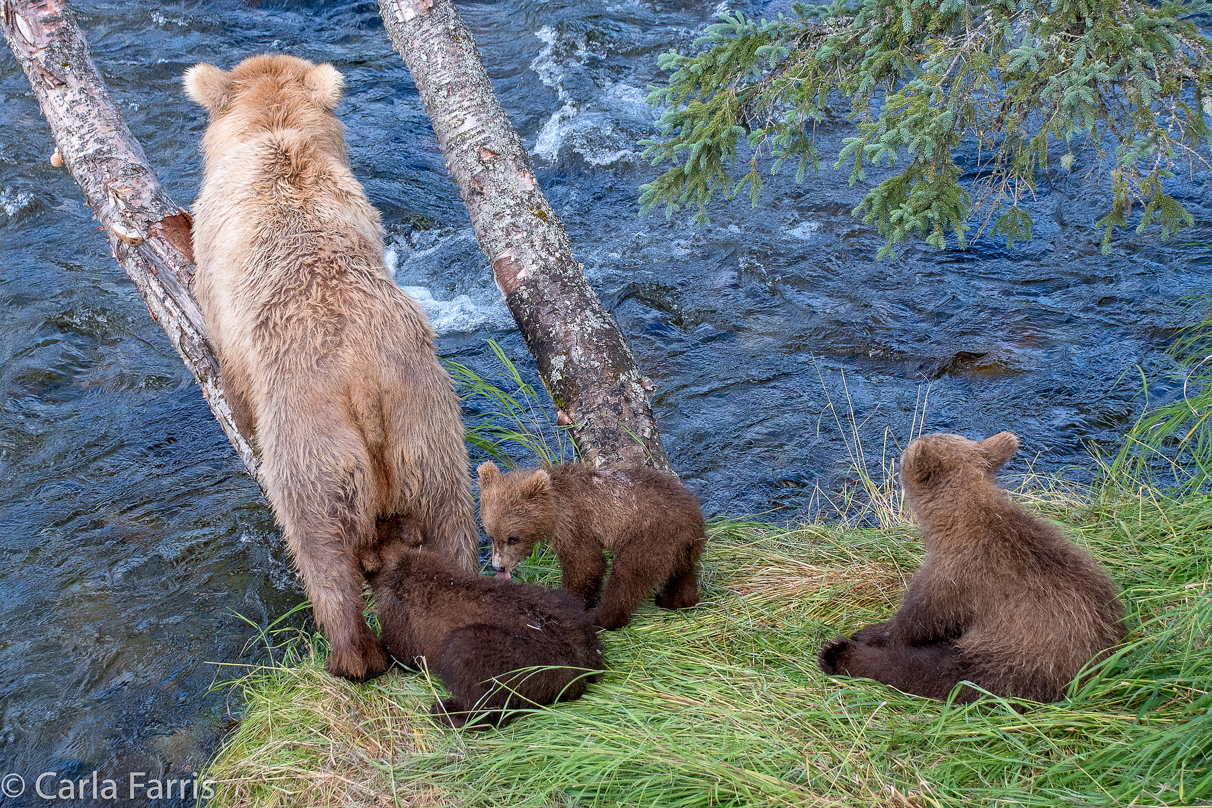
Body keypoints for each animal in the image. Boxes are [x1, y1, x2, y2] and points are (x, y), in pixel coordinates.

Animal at [184, 52, 477, 683]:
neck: (275, 135)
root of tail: (362, 382)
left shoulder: (217, 270)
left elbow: (228, 366)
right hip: (427, 423)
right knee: (452, 523)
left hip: (314, 439)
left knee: (318, 545)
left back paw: (351, 656)